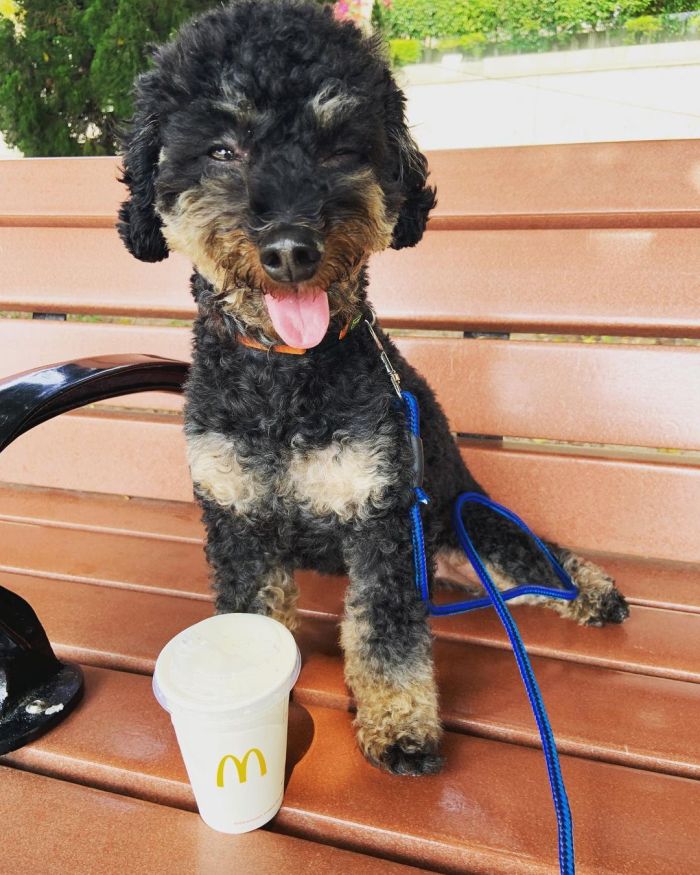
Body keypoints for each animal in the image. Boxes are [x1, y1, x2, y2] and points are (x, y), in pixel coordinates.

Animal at [117, 1, 632, 780]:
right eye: (222, 150)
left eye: (338, 146)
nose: (290, 249)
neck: (285, 381)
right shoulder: (238, 519)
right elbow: (253, 616)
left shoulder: (382, 519)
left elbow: (386, 635)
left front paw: (400, 724)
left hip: (469, 519)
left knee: (542, 555)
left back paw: (595, 591)